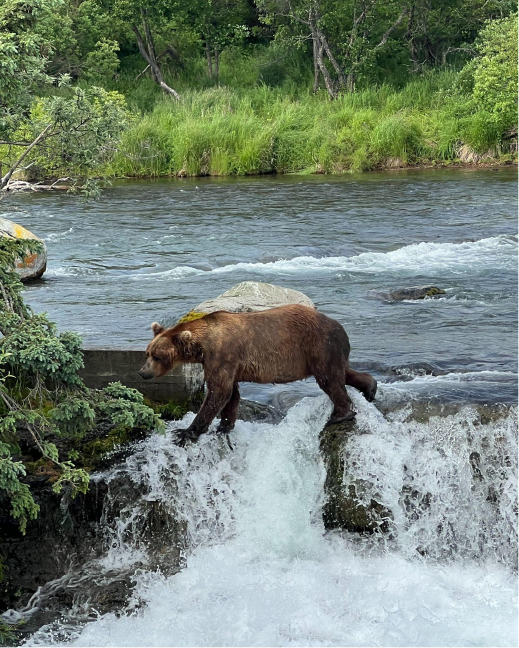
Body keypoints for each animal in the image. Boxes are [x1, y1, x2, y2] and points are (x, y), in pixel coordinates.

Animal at [139, 304, 377, 445]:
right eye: (147, 353)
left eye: (157, 356)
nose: (142, 372)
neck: (203, 346)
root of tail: (340, 326)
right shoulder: (227, 363)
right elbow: (231, 393)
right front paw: (224, 425)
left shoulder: (222, 355)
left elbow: (219, 391)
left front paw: (186, 431)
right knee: (341, 372)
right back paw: (370, 387)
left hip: (317, 345)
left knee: (329, 379)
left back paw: (340, 415)